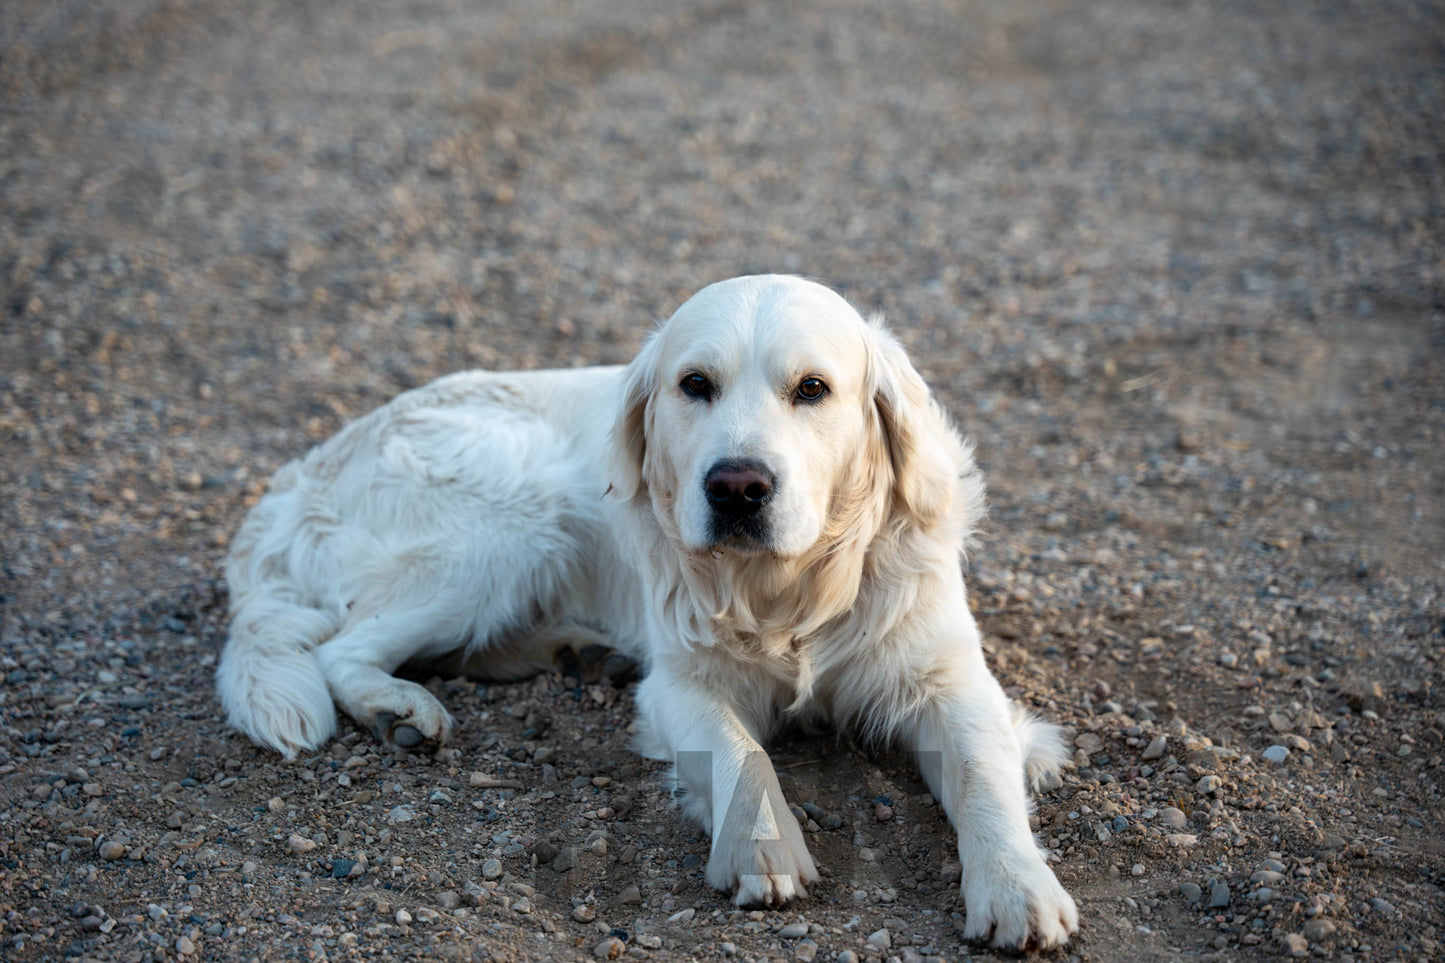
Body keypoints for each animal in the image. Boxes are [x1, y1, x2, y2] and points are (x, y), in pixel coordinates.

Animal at [219, 271, 1080, 942]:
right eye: (695, 383)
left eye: (812, 388)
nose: (737, 486)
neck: (787, 588)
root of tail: (304, 471)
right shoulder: (681, 683)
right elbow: (740, 750)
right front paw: (762, 845)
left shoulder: (949, 679)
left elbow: (983, 775)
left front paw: (1016, 887)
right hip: (509, 520)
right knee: (339, 648)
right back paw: (398, 707)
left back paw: (571, 650)